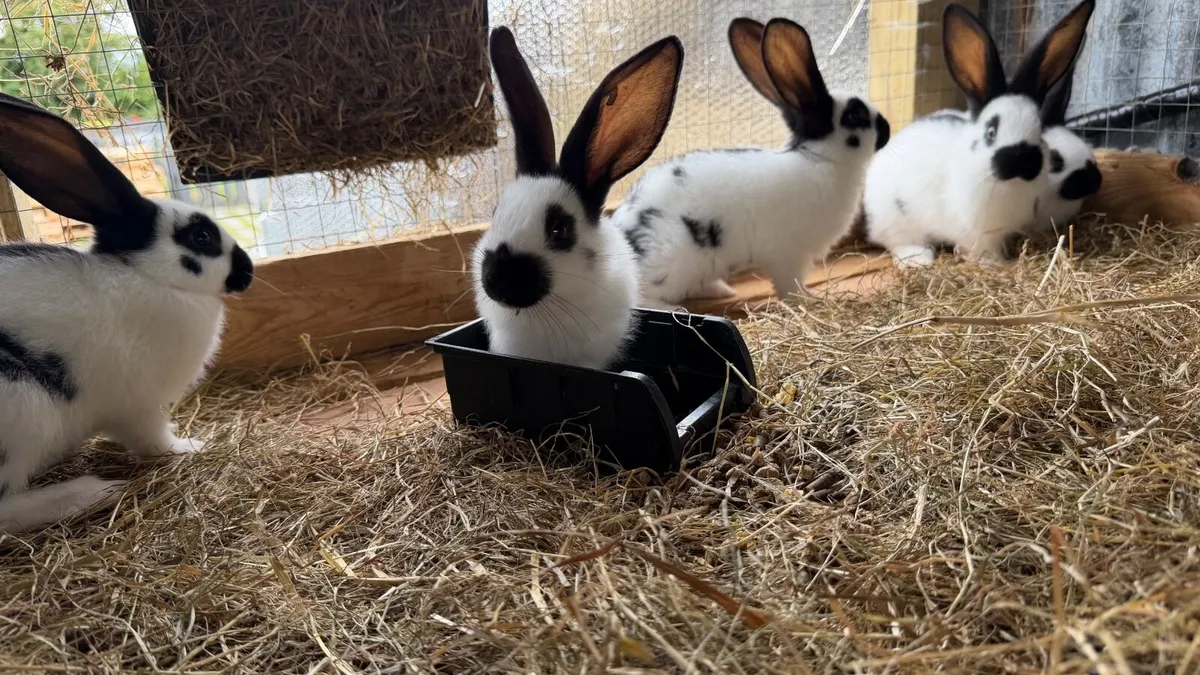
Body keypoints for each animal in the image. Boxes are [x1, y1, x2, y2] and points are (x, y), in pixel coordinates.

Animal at [0, 93, 254, 534]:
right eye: (201, 236)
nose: (249, 271)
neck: (147, 277)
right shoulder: (139, 406)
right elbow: (153, 439)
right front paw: (189, 447)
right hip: (23, 408)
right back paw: (89, 493)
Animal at [613, 17, 890, 307]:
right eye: (855, 116)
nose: (887, 129)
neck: (819, 159)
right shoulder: (790, 256)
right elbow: (789, 285)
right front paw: (807, 299)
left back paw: (721, 289)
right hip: (672, 264)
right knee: (643, 299)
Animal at [862, 0, 1095, 268]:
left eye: (1039, 133)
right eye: (991, 131)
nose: (1022, 161)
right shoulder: (977, 234)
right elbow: (983, 251)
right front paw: (997, 265)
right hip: (896, 218)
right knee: (898, 240)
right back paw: (919, 259)